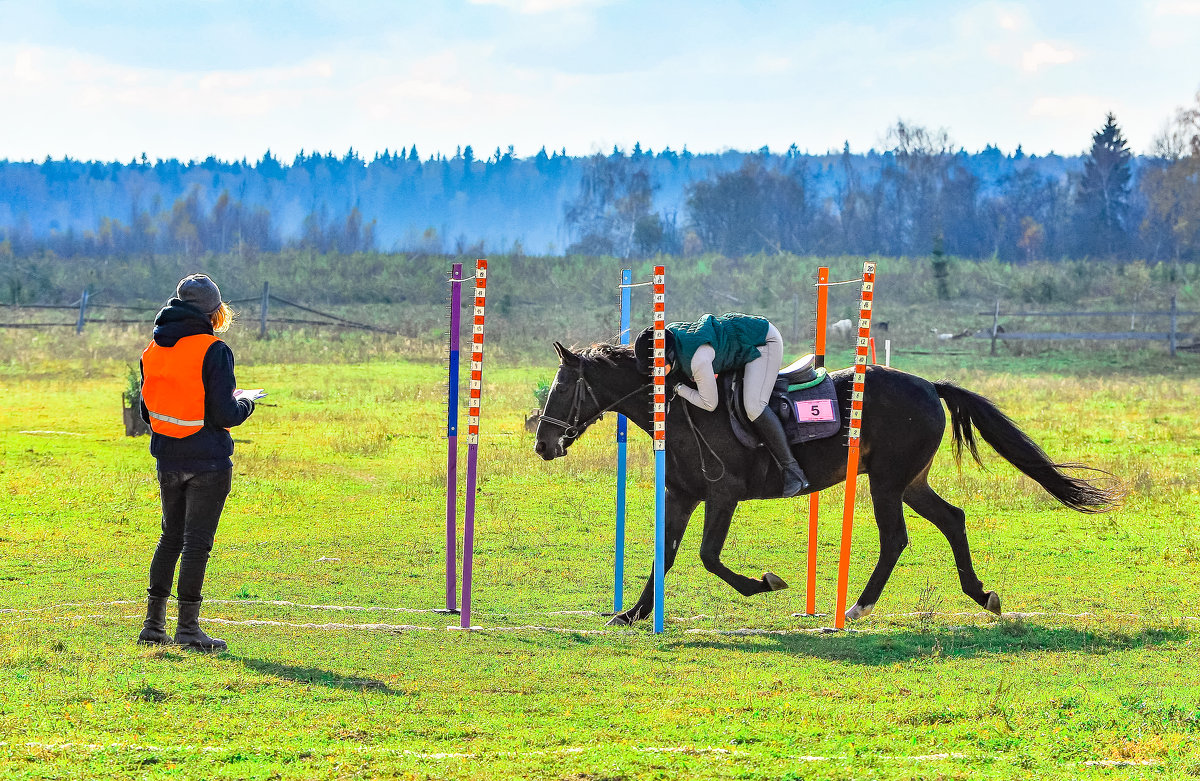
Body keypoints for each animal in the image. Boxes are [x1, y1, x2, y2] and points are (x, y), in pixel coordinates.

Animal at [535, 345, 1113, 628]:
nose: (542, 443)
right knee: (952, 518)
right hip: (908, 481)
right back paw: (981, 594)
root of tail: (929, 386)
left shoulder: (722, 496)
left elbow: (708, 557)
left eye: (561, 388)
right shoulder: (681, 495)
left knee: (895, 539)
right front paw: (632, 615)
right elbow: (667, 555)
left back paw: (857, 608)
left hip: (886, 481)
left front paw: (764, 583)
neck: (681, 408)